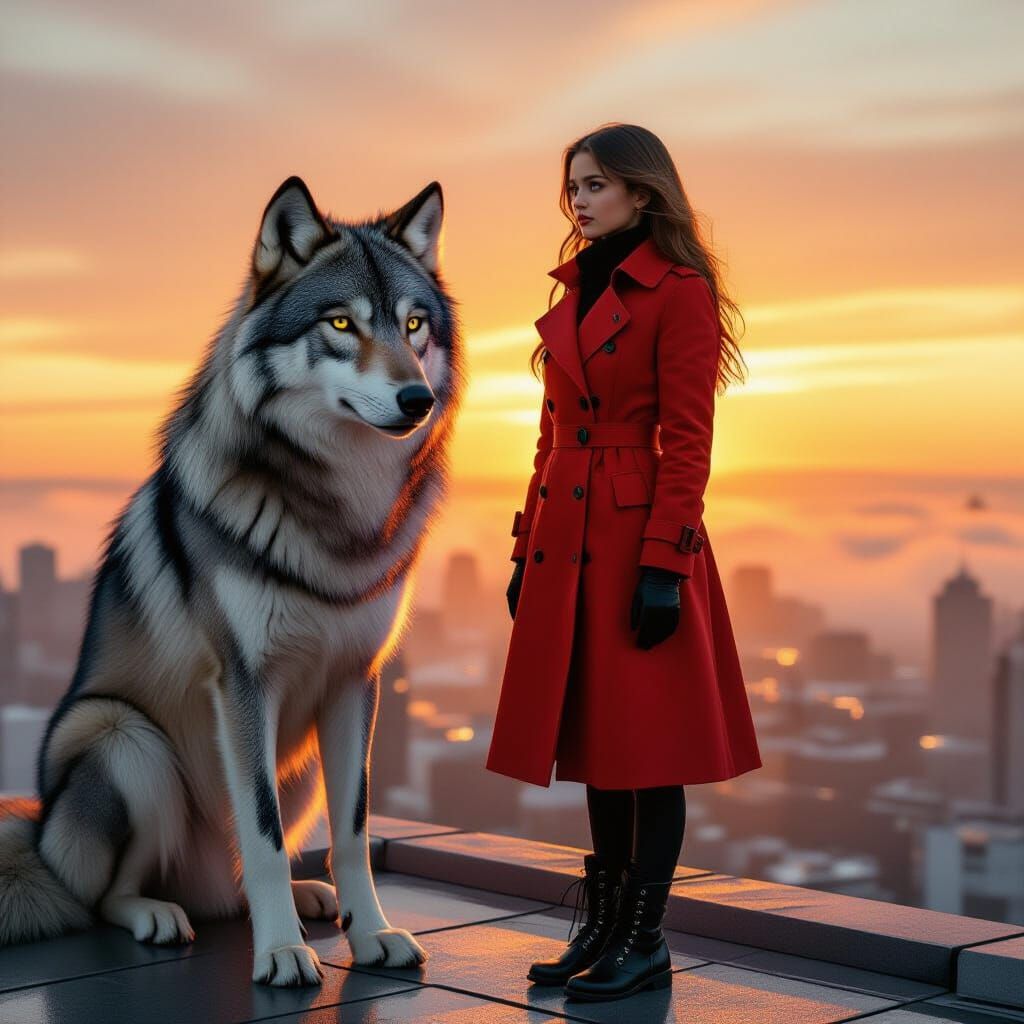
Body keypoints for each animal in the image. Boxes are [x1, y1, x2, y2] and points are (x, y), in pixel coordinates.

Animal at [0, 175, 465, 986]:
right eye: (340, 322)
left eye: (414, 326)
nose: (418, 400)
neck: (338, 511)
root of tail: (38, 844)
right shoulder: (244, 683)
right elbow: (263, 832)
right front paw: (280, 952)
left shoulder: (356, 681)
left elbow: (353, 830)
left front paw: (371, 932)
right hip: (122, 736)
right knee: (106, 896)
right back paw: (160, 914)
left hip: (298, 764)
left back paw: (306, 900)